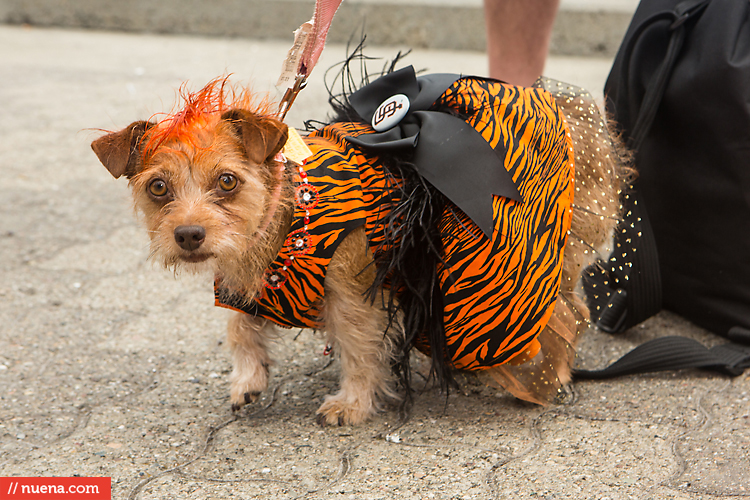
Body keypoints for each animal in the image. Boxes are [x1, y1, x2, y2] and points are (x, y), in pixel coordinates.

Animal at [89, 70, 628, 424]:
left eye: (227, 181)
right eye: (158, 188)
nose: (188, 235)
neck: (289, 216)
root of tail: (582, 119)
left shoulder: (352, 294)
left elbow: (359, 348)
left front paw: (353, 402)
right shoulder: (251, 283)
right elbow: (240, 327)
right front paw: (249, 377)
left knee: (574, 313)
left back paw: (551, 375)